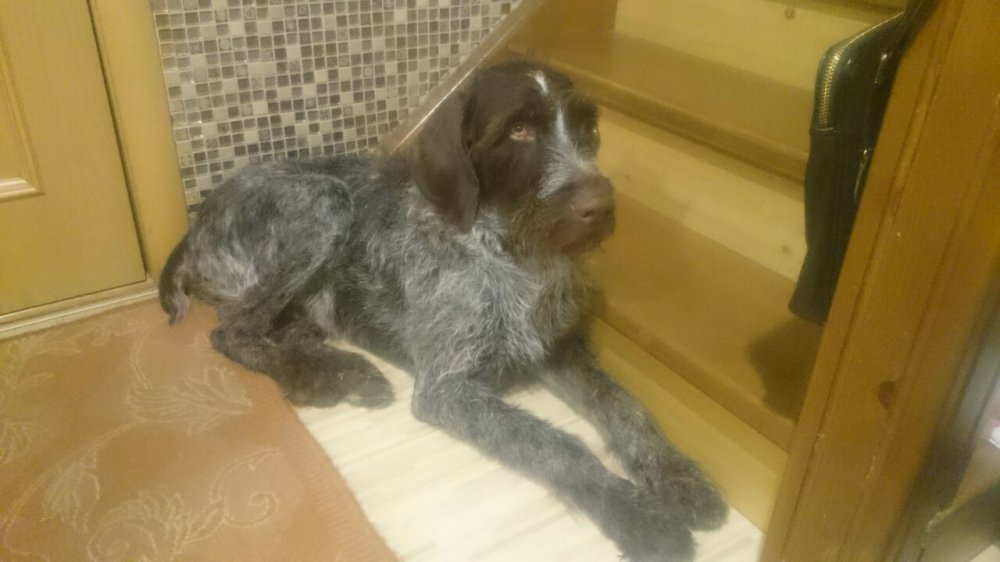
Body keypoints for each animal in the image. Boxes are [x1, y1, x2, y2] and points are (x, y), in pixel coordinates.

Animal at [158, 60, 727, 561]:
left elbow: (626, 406)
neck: (513, 256)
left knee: (279, 333)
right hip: (324, 202)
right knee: (233, 334)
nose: (601, 207)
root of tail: (196, 224)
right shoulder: (448, 389)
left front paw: (676, 474)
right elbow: (559, 446)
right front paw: (637, 514)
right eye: (518, 130)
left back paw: (337, 373)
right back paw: (320, 375)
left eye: (587, 126)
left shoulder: (557, 350)